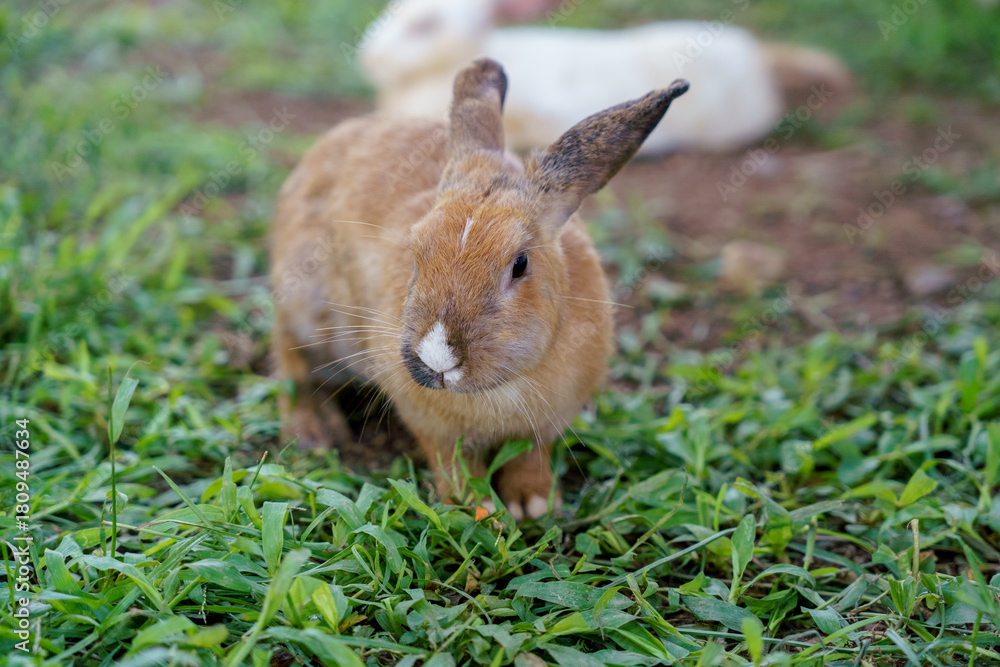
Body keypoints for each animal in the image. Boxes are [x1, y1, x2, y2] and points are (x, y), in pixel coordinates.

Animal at [270, 58, 689, 519]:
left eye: (520, 264)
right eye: (416, 248)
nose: (437, 359)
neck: (497, 389)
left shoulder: (543, 426)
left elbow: (530, 455)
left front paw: (533, 505)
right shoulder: (431, 425)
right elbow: (452, 464)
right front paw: (476, 511)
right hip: (309, 315)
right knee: (290, 364)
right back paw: (315, 434)